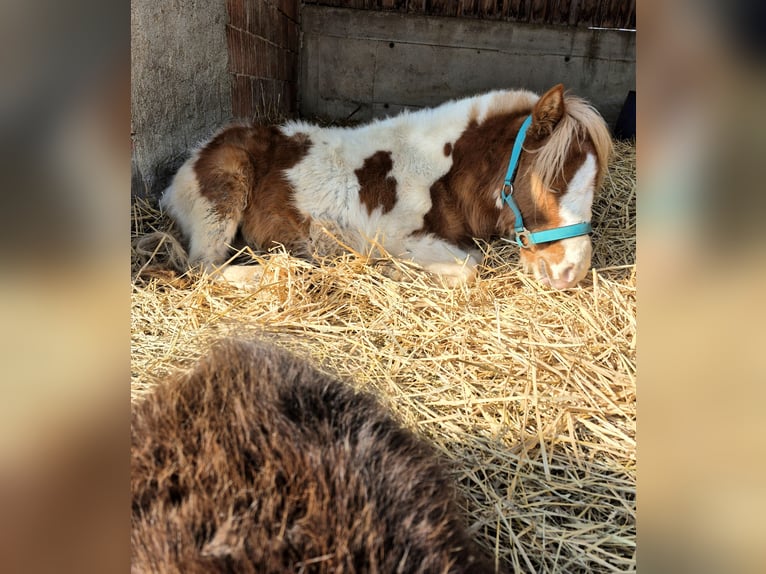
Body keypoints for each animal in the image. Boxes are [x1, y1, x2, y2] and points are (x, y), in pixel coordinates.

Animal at [160, 83, 612, 290]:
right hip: (223, 198)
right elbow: (468, 268)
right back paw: (274, 271)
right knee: (203, 266)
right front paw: (389, 270)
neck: (443, 172)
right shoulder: (397, 237)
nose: (573, 271)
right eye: (551, 180)